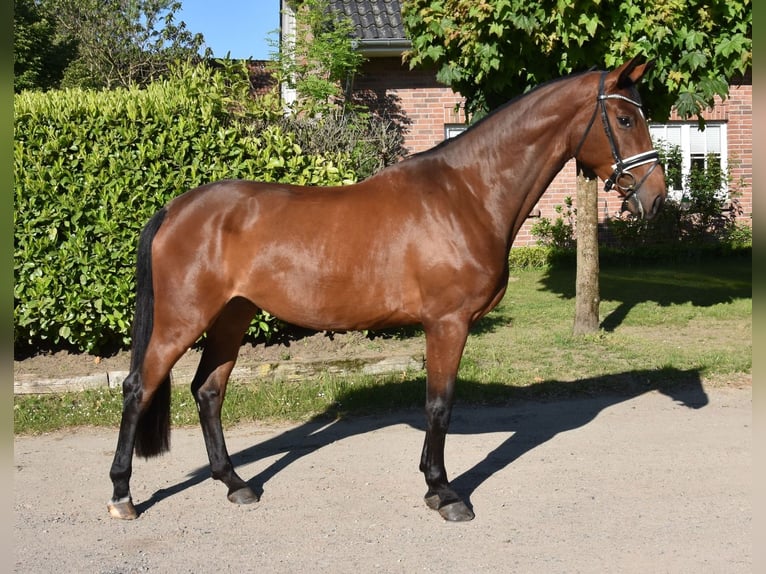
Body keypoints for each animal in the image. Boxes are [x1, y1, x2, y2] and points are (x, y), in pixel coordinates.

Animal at [108, 56, 666, 522]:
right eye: (624, 120)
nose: (657, 197)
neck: (466, 194)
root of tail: (175, 209)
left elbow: (436, 403)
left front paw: (433, 483)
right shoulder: (447, 323)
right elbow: (439, 404)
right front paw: (444, 493)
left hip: (233, 315)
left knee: (208, 390)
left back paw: (234, 483)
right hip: (183, 319)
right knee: (138, 387)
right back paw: (122, 495)